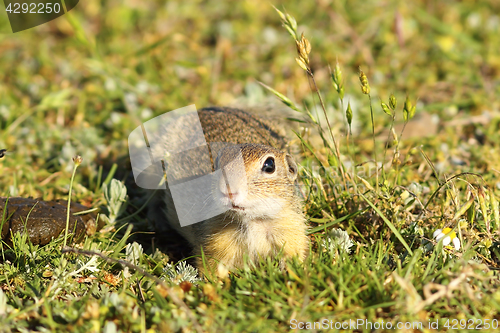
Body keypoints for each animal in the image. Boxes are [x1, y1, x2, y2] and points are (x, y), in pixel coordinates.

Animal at [150, 107, 310, 274]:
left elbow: (294, 257)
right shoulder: (214, 242)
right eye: (217, 162)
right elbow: (210, 268)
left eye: (270, 165)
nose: (228, 189)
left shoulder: (291, 230)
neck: (253, 221)